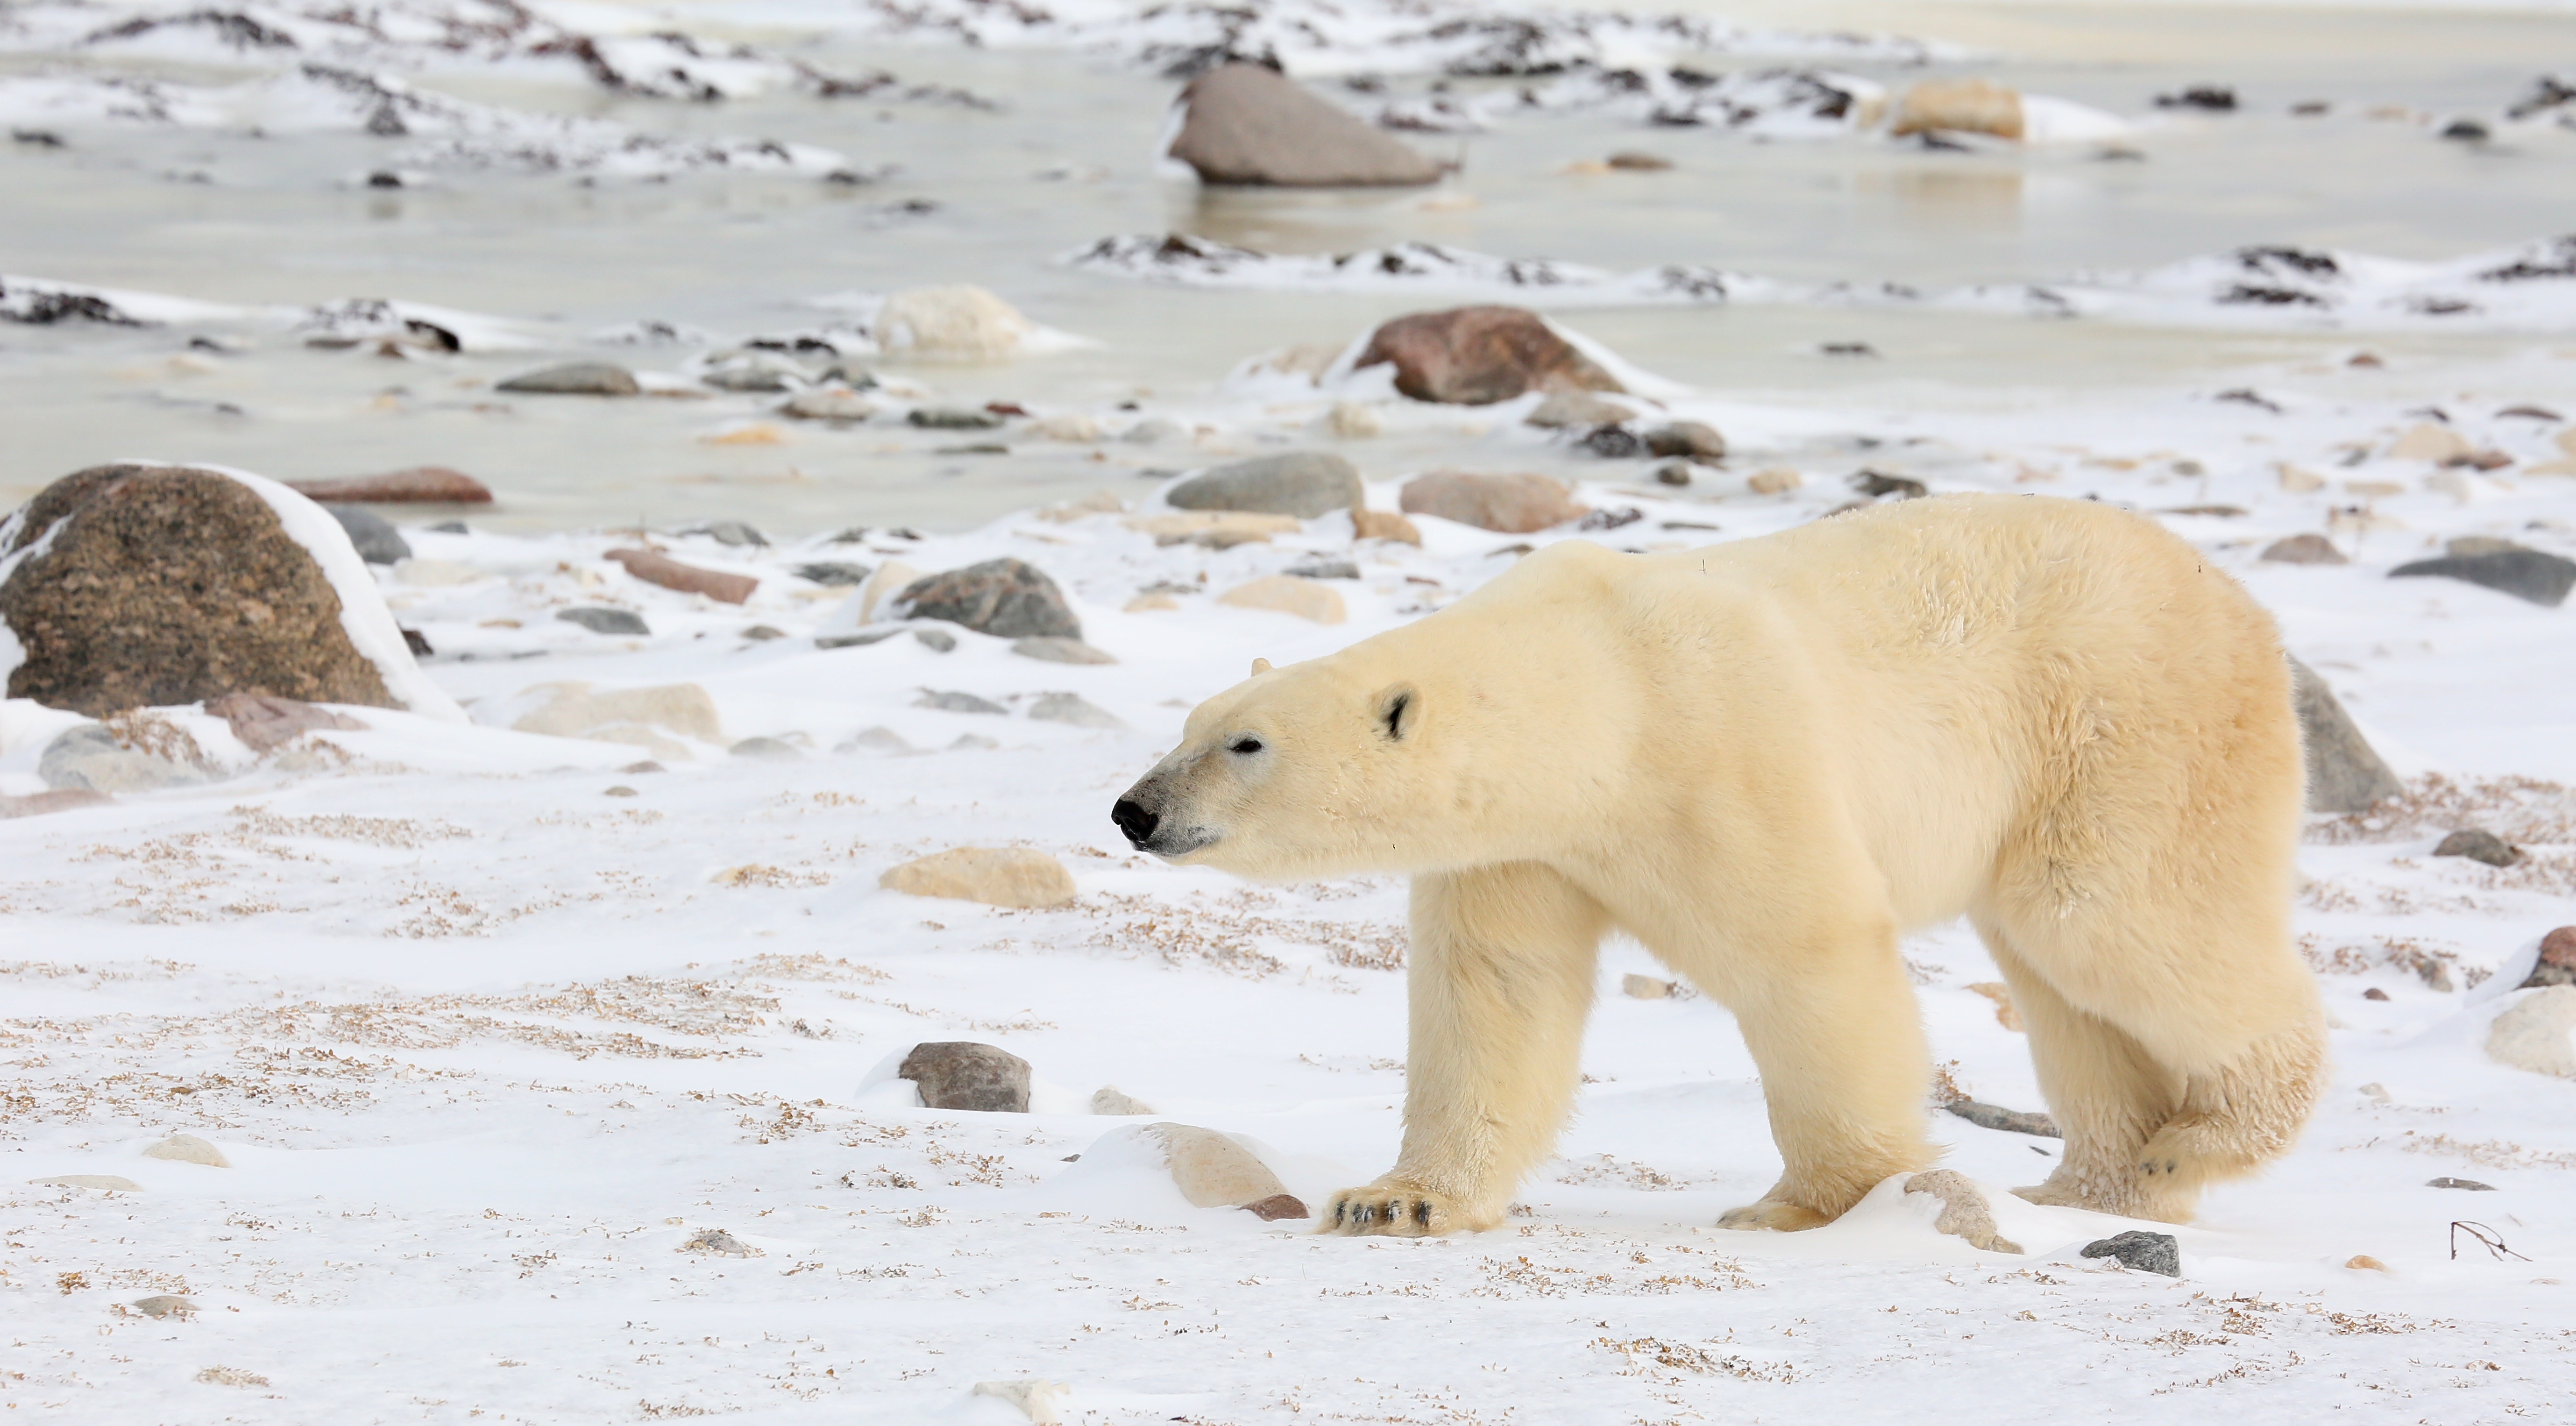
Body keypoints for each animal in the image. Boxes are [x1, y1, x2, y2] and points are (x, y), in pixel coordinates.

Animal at [1111, 493, 2326, 1236]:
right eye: (1191, 723)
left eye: (1244, 744)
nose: (1133, 809)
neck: (1600, 689)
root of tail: (2238, 606)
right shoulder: (1523, 845)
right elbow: (1494, 995)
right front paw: (1395, 1200)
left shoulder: (1720, 751)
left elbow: (1806, 956)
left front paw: (1812, 1204)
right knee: (2065, 988)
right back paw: (2093, 1185)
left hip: (2126, 732)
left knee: (2111, 920)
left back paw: (2191, 1148)